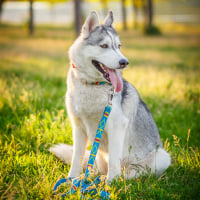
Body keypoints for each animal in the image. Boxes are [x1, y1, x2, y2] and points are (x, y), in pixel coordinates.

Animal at [50, 10, 170, 180]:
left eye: (119, 46)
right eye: (104, 46)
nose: (124, 62)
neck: (93, 85)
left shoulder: (116, 126)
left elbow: (114, 160)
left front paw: (111, 183)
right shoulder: (78, 128)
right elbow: (76, 158)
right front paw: (71, 180)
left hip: (161, 157)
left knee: (131, 172)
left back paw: (114, 179)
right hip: (99, 157)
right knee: (94, 167)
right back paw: (89, 178)